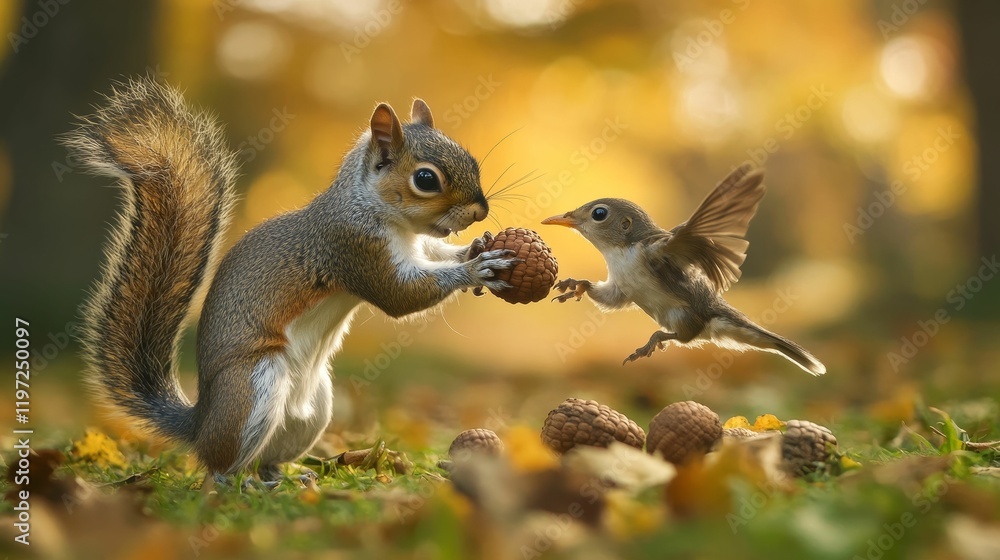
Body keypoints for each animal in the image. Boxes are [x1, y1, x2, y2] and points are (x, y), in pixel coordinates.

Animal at [67, 77, 517, 480]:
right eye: (426, 179)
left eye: (471, 159)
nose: (480, 211)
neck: (375, 209)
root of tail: (200, 423)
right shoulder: (351, 246)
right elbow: (401, 296)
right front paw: (474, 267)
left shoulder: (416, 247)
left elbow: (435, 257)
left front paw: (478, 248)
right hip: (253, 387)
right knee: (218, 463)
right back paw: (235, 483)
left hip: (315, 408)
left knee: (268, 457)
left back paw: (285, 477)